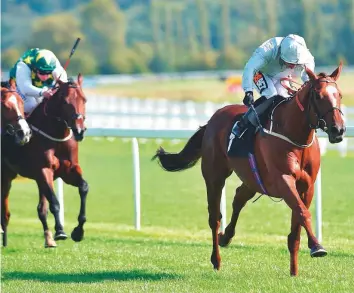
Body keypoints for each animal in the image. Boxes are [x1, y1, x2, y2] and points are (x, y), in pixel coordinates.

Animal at [1, 74, 87, 248]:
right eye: (65, 102)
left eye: (84, 100)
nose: (79, 131)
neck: (57, 137)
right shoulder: (43, 170)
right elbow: (54, 203)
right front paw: (60, 231)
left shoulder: (69, 171)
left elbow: (83, 188)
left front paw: (78, 231)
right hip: (5, 175)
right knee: (4, 210)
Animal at [152, 62, 346, 274]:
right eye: (318, 96)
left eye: (339, 94)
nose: (338, 130)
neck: (294, 136)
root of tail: (212, 119)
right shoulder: (284, 180)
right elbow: (303, 213)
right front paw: (317, 246)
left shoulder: (306, 186)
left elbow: (296, 228)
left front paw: (295, 271)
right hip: (214, 176)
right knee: (215, 217)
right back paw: (216, 259)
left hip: (253, 180)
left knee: (238, 197)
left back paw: (226, 237)